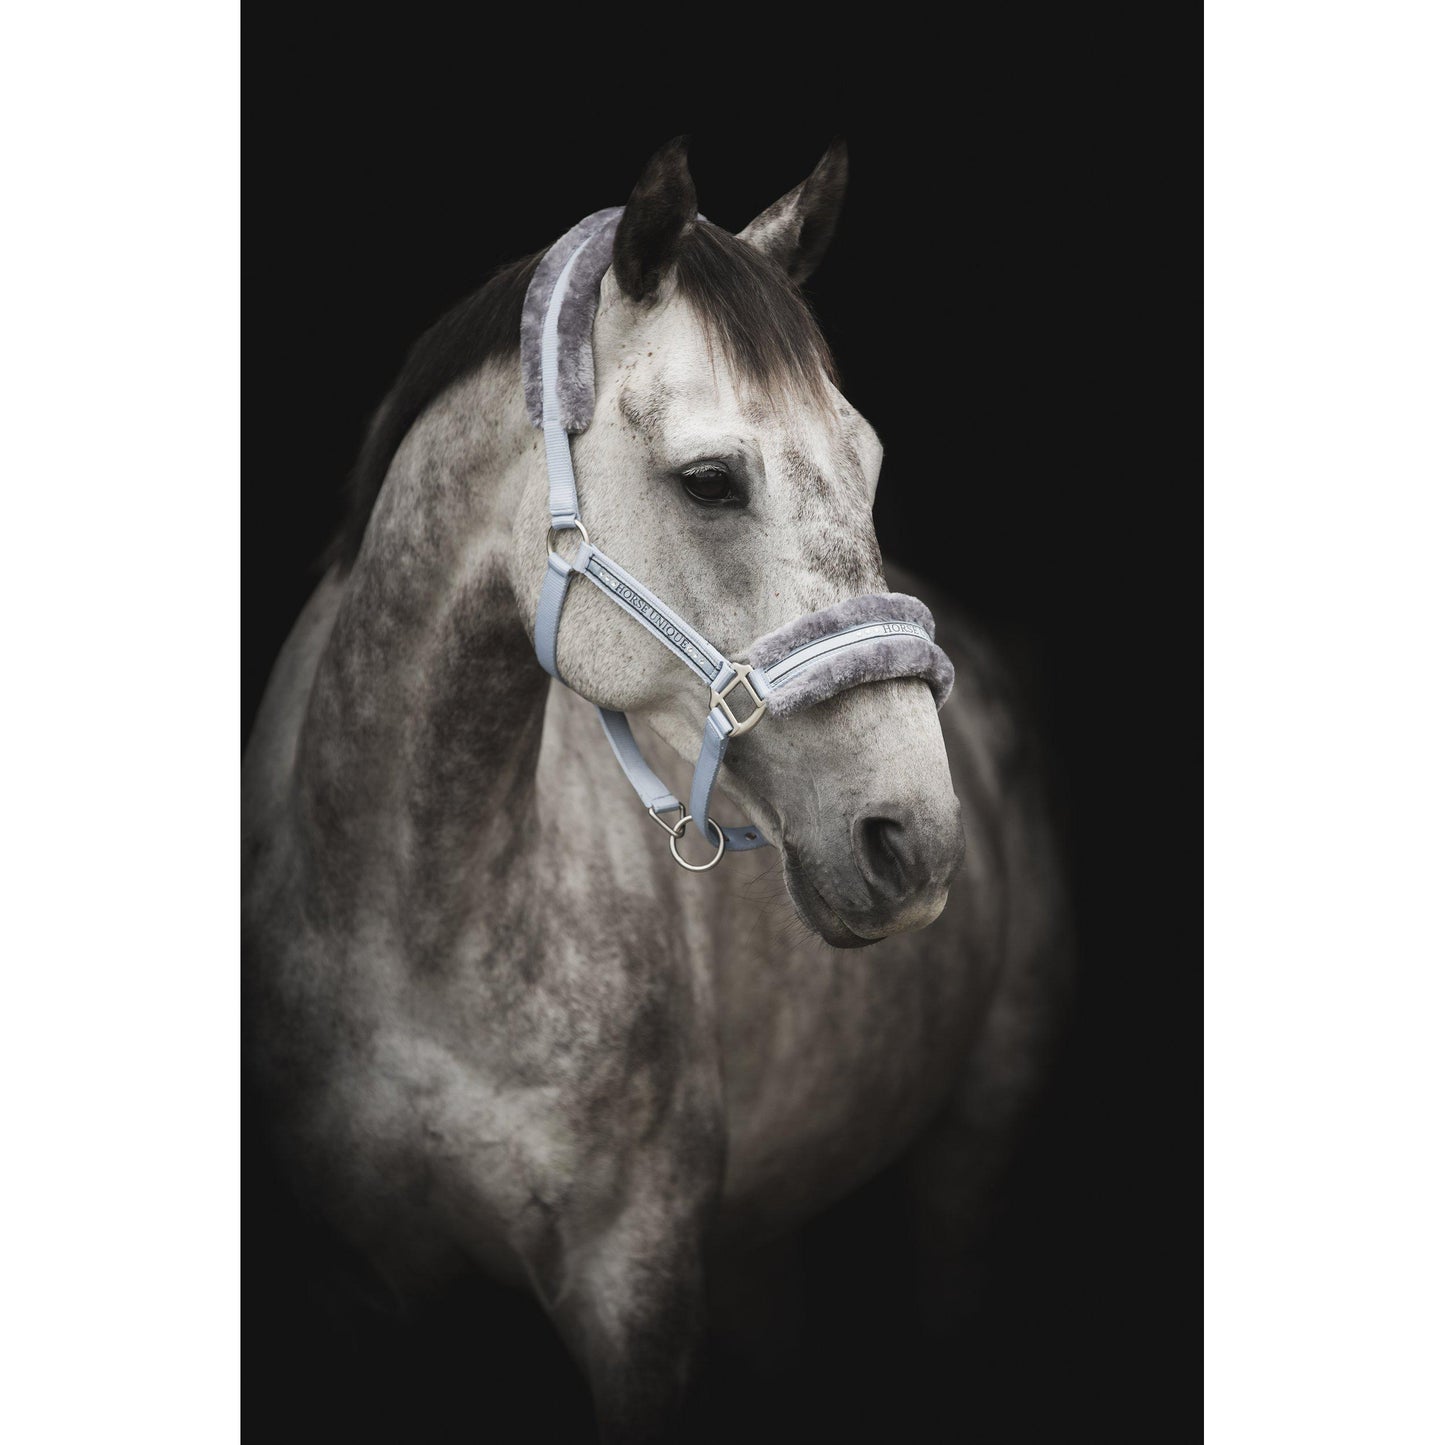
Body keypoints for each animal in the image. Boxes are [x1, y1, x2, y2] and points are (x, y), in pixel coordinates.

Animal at [242, 138, 1071, 1441]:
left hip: (972, 1142)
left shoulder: (633, 1284)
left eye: (869, 463)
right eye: (710, 480)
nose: (913, 840)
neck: (404, 920)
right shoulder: (355, 1283)